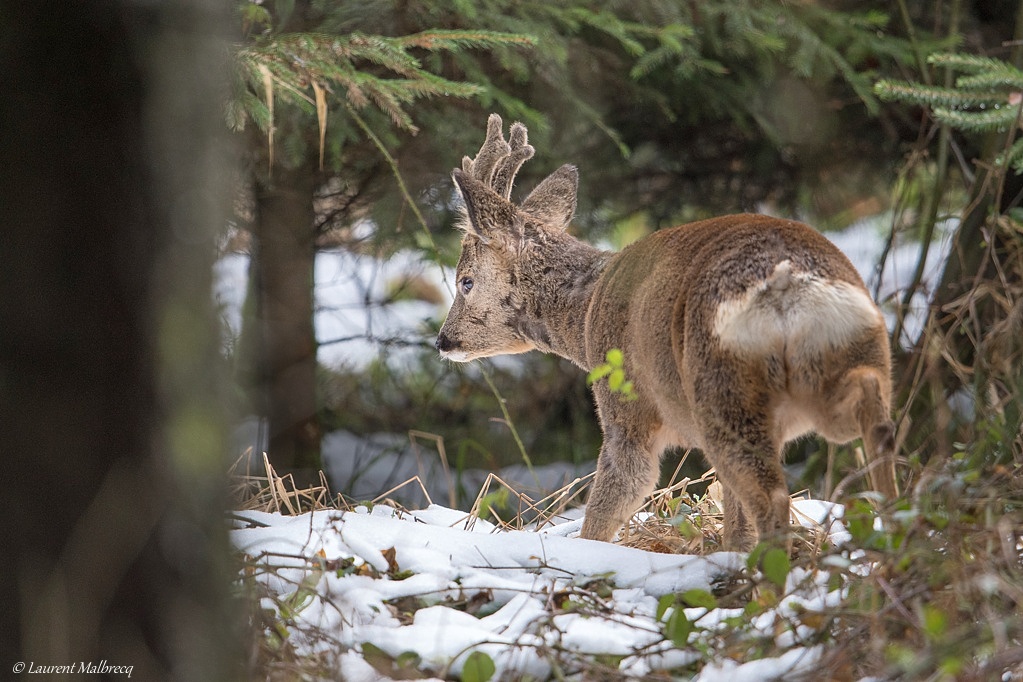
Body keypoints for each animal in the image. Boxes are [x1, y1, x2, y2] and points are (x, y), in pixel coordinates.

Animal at [435, 113, 900, 548]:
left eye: (465, 281)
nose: (442, 340)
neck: (585, 314)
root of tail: (788, 282)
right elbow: (734, 522)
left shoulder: (626, 406)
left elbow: (614, 500)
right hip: (847, 353)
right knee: (871, 417)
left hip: (721, 394)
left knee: (772, 497)